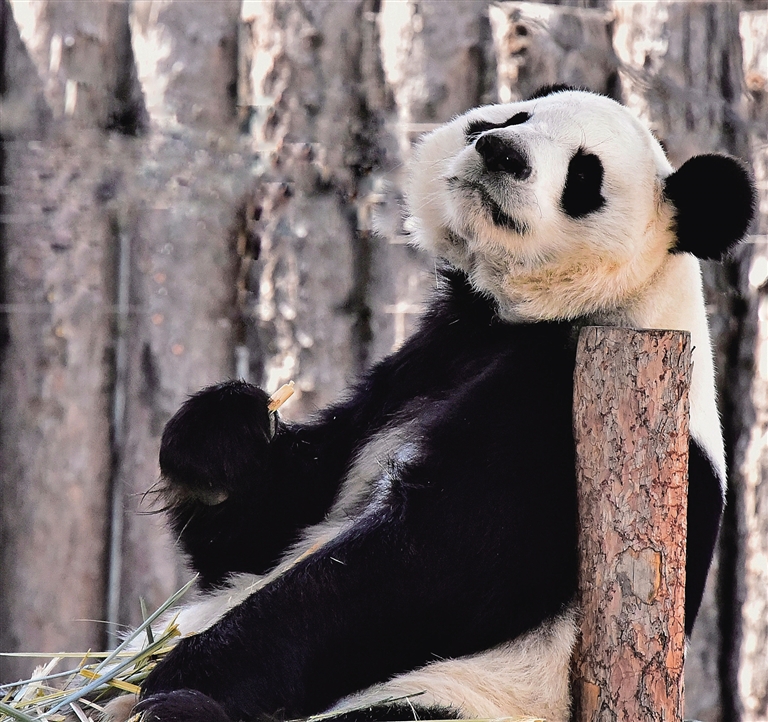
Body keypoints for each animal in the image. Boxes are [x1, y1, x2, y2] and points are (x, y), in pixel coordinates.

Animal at [117, 88, 752, 720]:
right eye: (512, 117)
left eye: (583, 174)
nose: (500, 151)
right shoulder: (426, 361)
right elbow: (266, 525)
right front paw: (221, 437)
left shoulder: (565, 408)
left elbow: (435, 562)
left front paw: (178, 676)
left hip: (468, 697)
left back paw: (180, 706)